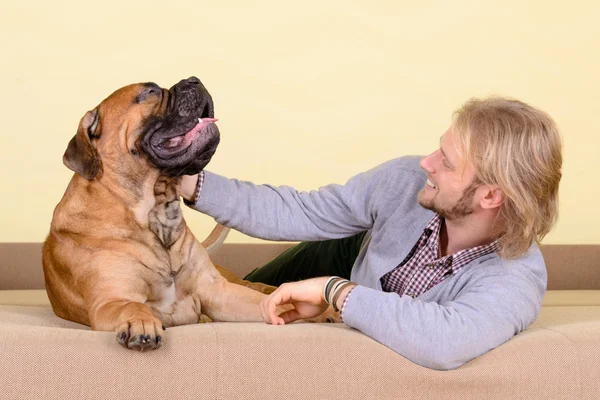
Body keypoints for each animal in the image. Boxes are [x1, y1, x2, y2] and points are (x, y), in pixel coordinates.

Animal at [43, 76, 338, 350]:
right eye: (149, 92)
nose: (193, 80)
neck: (156, 212)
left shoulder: (217, 291)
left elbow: (278, 304)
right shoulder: (111, 300)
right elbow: (133, 306)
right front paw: (142, 323)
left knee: (264, 288)